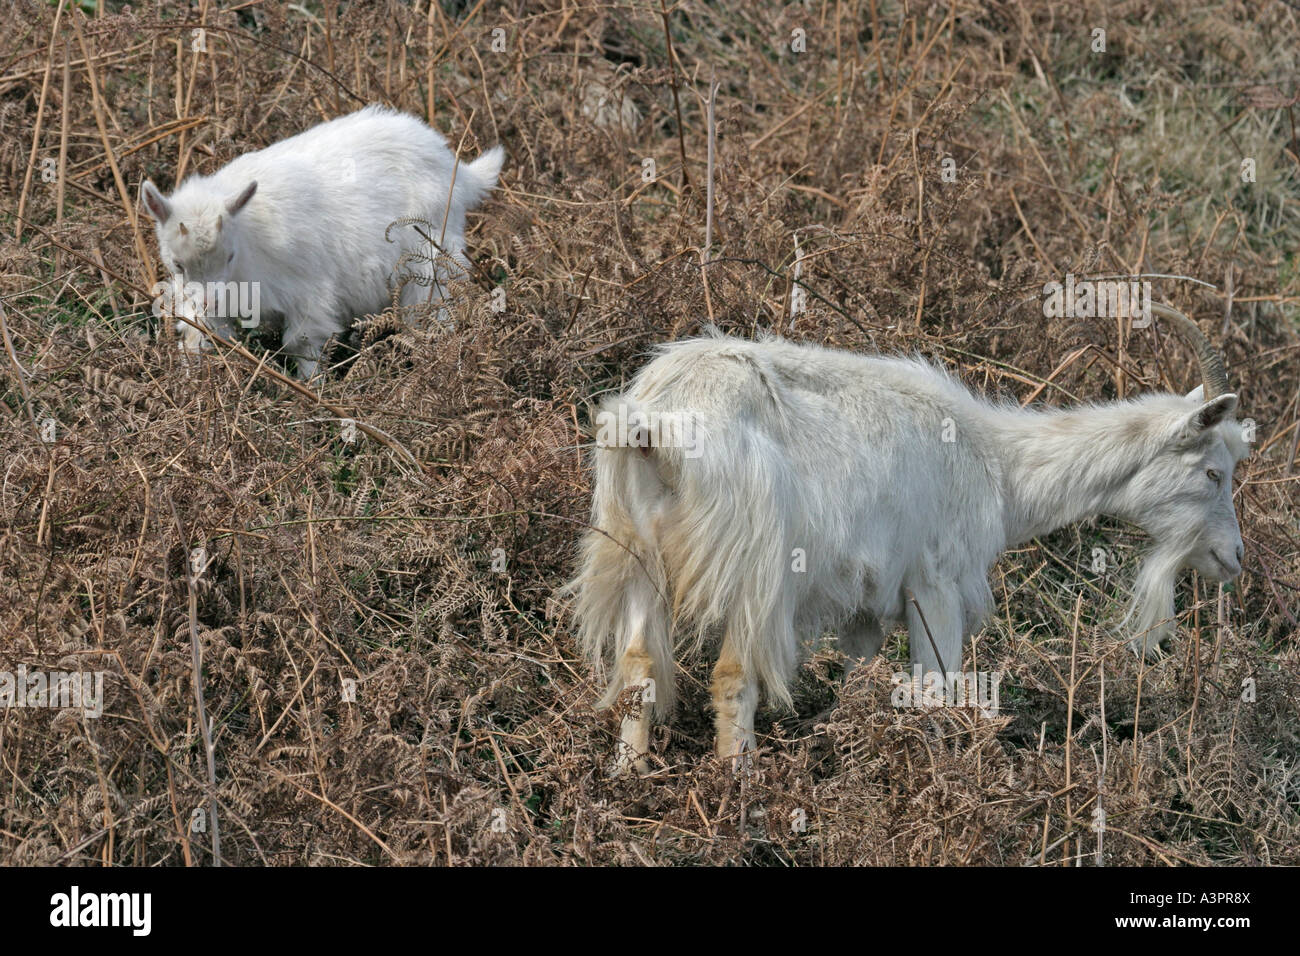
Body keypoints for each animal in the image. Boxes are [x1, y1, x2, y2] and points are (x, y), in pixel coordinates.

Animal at [572, 306, 1248, 770]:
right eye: (1214, 472)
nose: (1234, 558)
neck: (999, 466)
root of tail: (654, 424)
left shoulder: (863, 608)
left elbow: (861, 677)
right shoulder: (936, 584)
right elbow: (937, 687)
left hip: (634, 552)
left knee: (638, 663)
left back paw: (631, 776)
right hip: (755, 563)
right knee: (734, 671)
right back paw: (741, 783)